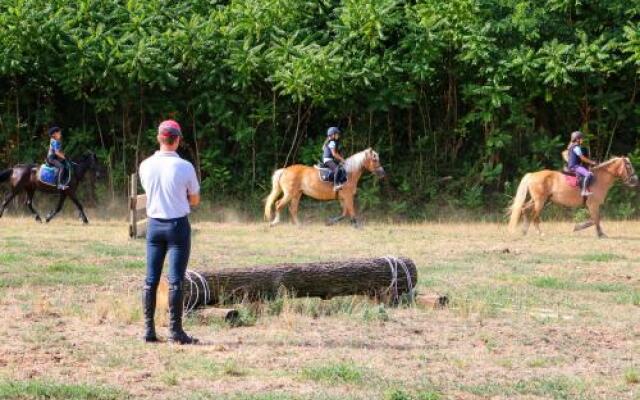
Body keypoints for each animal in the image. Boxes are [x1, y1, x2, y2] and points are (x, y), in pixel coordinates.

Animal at [508, 157, 636, 238]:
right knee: (534, 216)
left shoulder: (592, 206)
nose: (635, 180)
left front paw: (579, 227)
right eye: (628, 166)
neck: (599, 179)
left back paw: (524, 230)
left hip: (538, 200)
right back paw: (539, 232)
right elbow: (596, 219)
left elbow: (595, 219)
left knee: (524, 209)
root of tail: (532, 175)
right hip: (540, 201)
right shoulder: (593, 205)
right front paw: (597, 233)